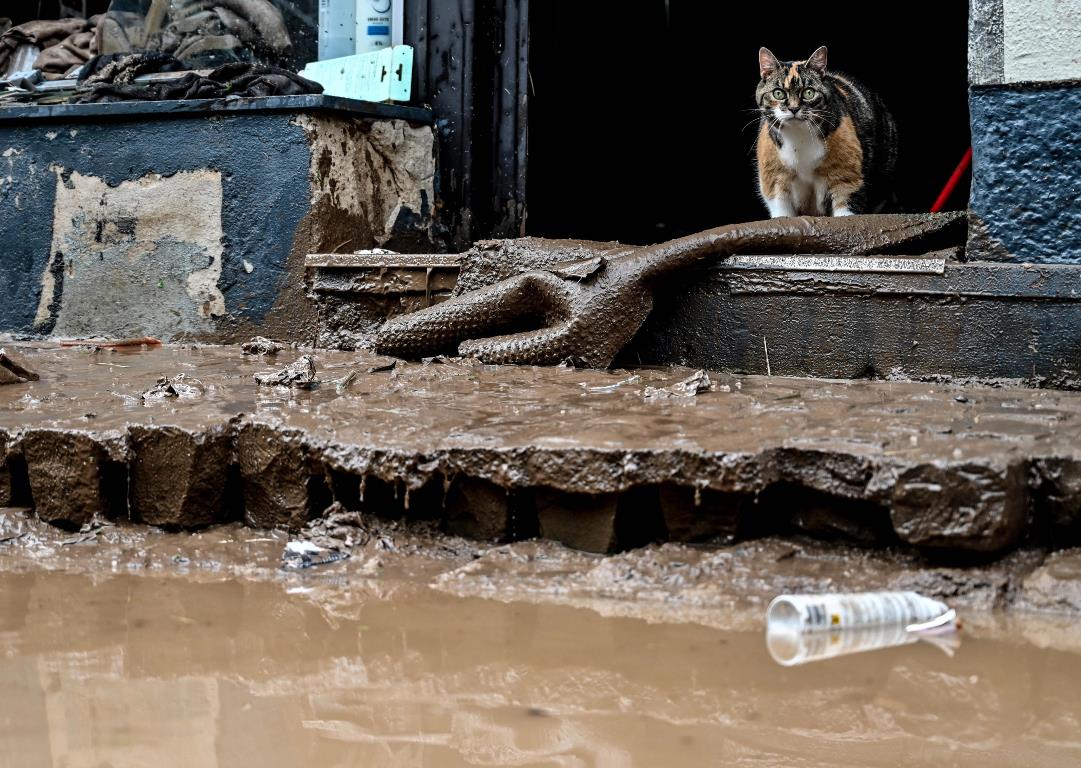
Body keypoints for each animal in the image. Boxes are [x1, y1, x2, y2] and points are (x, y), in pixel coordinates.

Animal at [752, 47, 895, 218]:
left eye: (809, 93)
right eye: (778, 93)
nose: (793, 108)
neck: (799, 138)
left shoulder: (847, 173)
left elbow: (845, 203)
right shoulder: (774, 176)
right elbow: (781, 207)